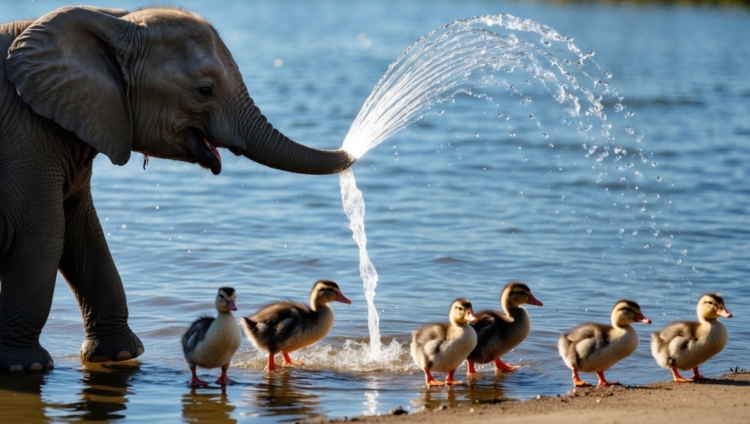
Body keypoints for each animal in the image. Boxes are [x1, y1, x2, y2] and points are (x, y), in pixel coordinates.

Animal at [0, 6, 355, 371]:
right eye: (204, 91)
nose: (354, 150)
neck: (112, 21)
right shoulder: (27, 139)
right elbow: (43, 237)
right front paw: (26, 367)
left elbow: (84, 234)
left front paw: (119, 356)